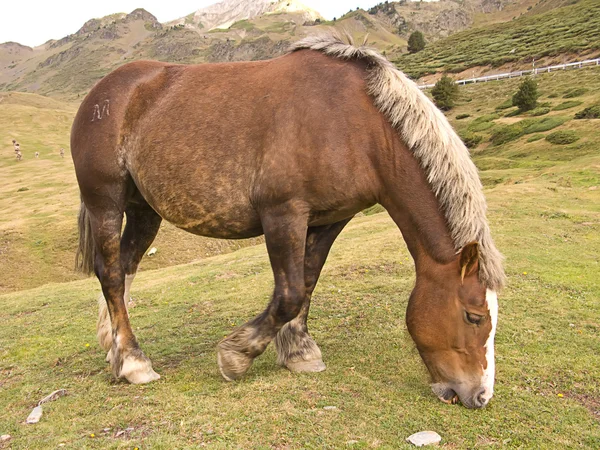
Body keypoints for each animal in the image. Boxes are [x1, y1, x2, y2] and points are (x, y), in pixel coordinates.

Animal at [74, 34, 506, 408]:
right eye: (474, 316)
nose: (480, 395)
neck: (354, 124)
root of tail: (101, 92)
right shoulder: (283, 213)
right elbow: (290, 293)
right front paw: (236, 356)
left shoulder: (331, 219)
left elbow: (308, 281)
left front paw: (299, 351)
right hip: (106, 202)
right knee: (111, 273)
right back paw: (134, 363)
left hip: (144, 211)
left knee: (124, 268)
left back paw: (114, 350)